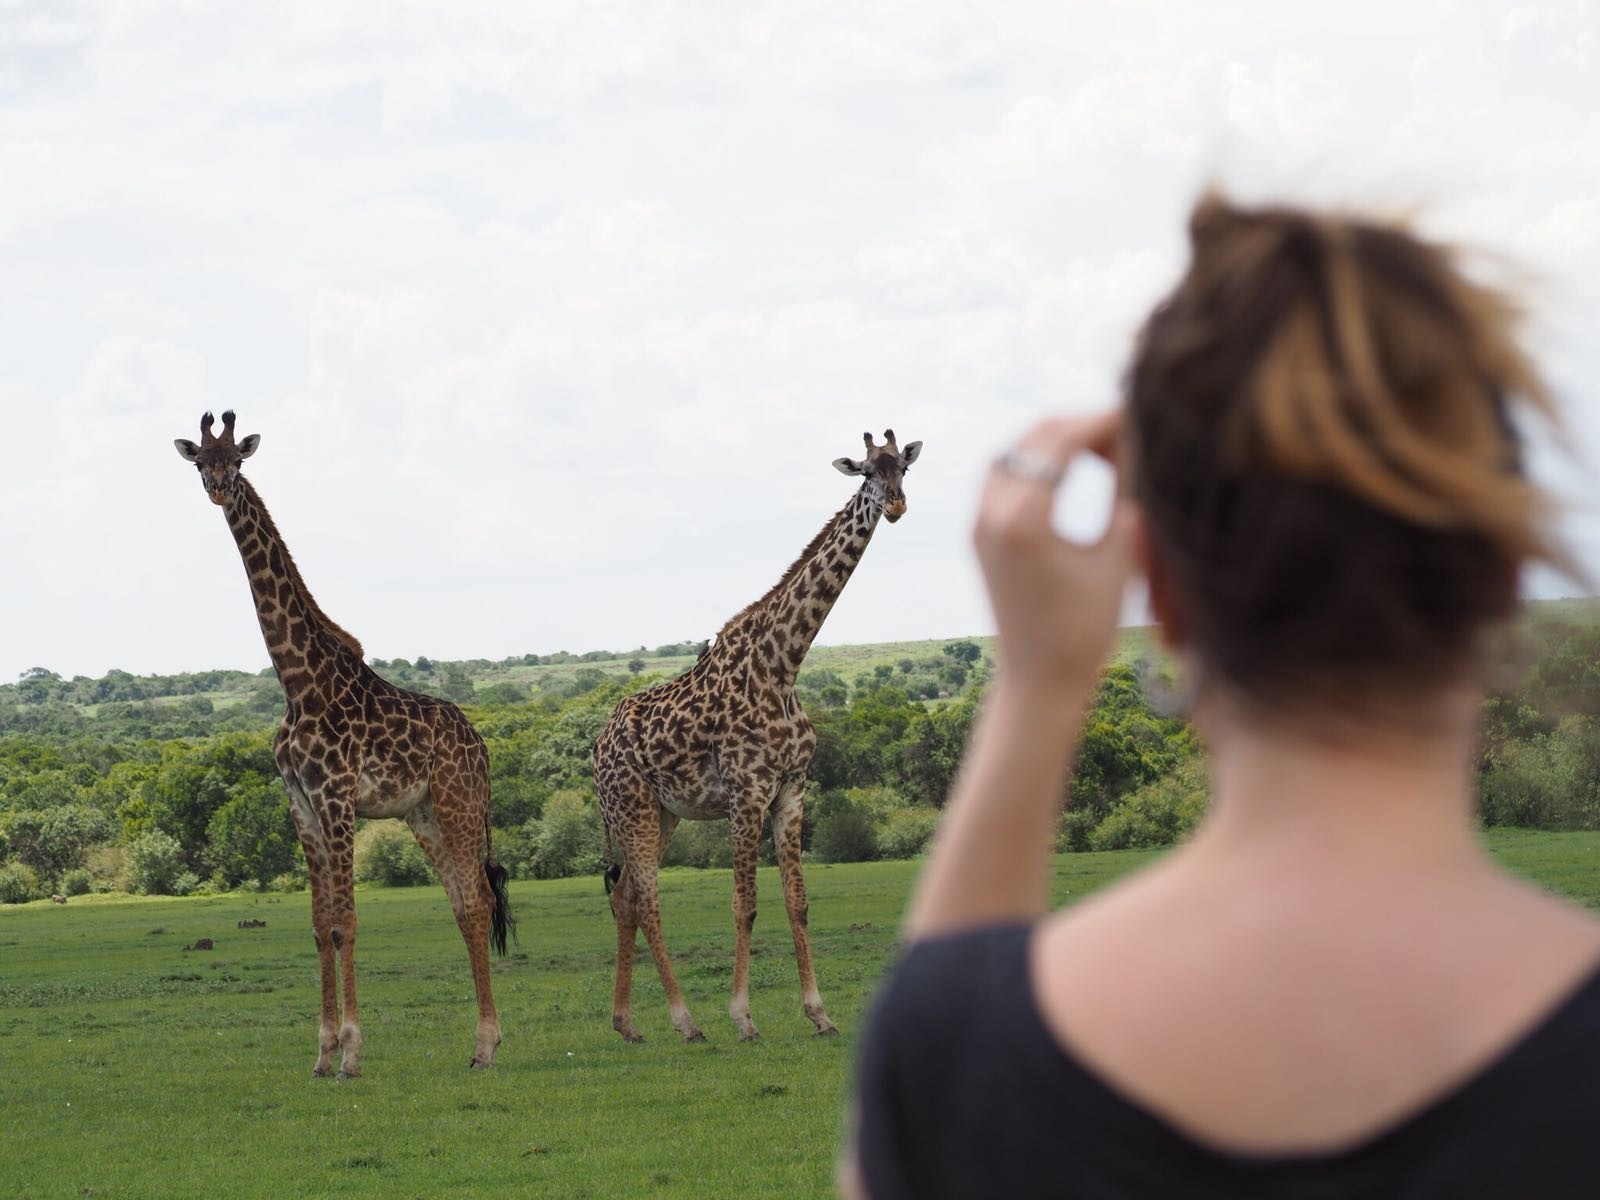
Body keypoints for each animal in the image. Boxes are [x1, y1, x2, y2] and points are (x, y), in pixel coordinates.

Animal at [174, 412, 512, 1081]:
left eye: (238, 462)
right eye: (201, 460)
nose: (219, 489)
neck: (298, 683)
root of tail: (481, 745)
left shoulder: (336, 799)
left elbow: (346, 924)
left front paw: (352, 1052)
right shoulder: (301, 805)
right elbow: (317, 925)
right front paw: (322, 1052)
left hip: (459, 803)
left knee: (482, 899)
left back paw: (489, 1044)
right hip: (422, 814)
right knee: (464, 904)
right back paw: (480, 1044)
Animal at [595, 428, 928, 1043]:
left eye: (905, 469)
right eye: (867, 471)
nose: (895, 505)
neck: (784, 664)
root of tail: (595, 747)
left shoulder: (792, 790)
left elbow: (797, 900)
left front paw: (819, 1014)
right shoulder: (746, 793)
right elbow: (743, 903)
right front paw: (743, 1018)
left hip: (664, 812)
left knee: (626, 895)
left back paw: (627, 1024)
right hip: (630, 805)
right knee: (646, 898)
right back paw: (687, 1023)